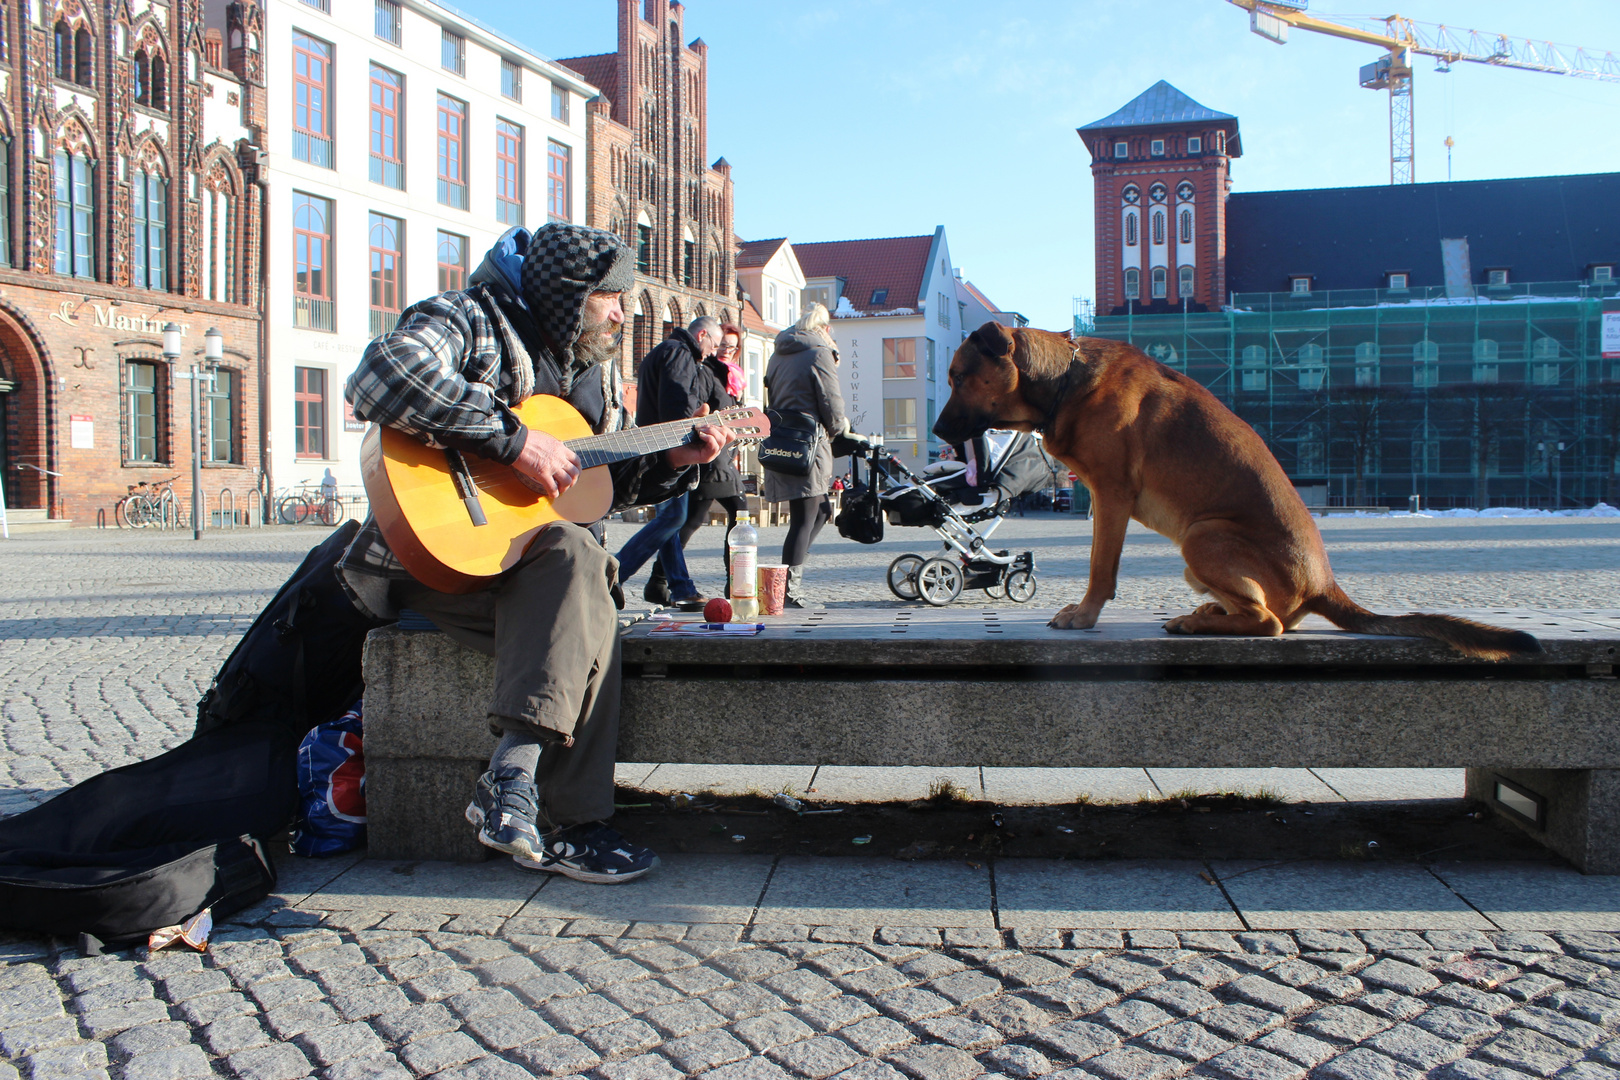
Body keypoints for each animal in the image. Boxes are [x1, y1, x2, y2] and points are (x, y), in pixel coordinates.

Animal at [933, 320, 1535, 660]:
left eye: (959, 376)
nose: (937, 434)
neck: (1064, 381)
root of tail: (1324, 585)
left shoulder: (1111, 496)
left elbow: (1101, 569)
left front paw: (1083, 616)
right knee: (1258, 612)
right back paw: (1206, 614)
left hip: (1203, 535)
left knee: (1270, 623)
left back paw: (1198, 622)